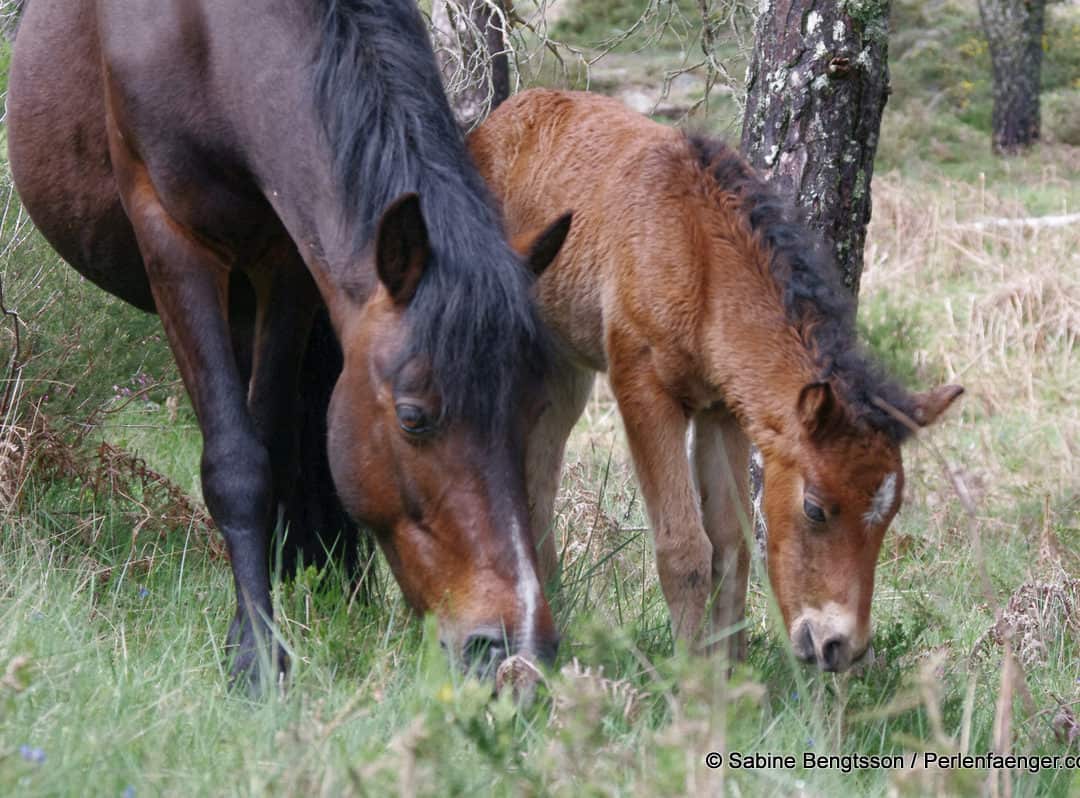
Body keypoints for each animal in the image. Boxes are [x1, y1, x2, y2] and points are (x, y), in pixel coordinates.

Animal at [8, 1, 570, 686]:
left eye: (533, 412)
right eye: (413, 417)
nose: (518, 652)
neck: (206, 36)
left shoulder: (288, 263)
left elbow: (273, 450)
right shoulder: (173, 239)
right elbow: (237, 462)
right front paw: (254, 655)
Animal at [470, 89, 963, 673]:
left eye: (889, 514)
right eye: (815, 508)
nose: (839, 646)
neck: (698, 254)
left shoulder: (722, 410)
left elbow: (731, 544)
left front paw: (729, 672)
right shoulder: (644, 389)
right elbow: (684, 546)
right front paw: (690, 676)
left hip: (567, 374)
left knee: (538, 482)